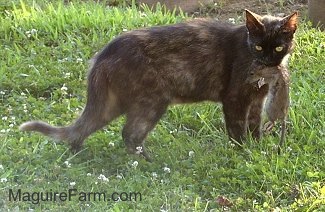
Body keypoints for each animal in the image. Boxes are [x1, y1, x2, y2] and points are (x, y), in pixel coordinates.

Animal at [19, 9, 296, 160]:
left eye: (278, 47)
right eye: (258, 46)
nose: (268, 61)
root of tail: (103, 54)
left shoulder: (257, 101)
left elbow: (254, 127)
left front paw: (256, 150)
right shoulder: (235, 99)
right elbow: (237, 130)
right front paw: (242, 154)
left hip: (113, 104)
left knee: (83, 130)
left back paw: (77, 155)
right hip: (152, 101)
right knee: (129, 133)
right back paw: (147, 163)